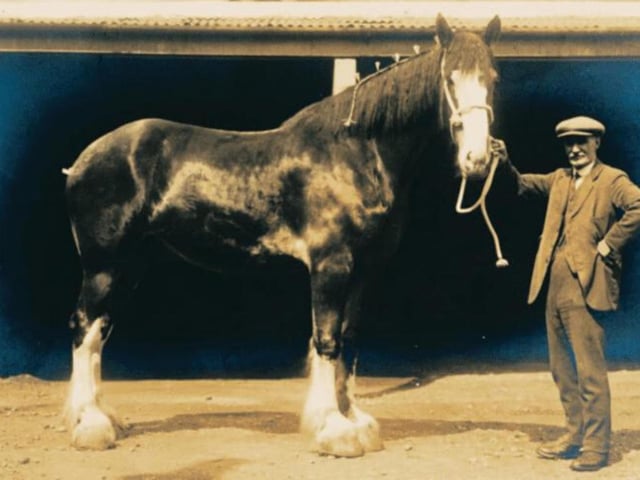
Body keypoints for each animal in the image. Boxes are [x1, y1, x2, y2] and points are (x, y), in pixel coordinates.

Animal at [62, 14, 501, 456]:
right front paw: (334, 430)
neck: (357, 156)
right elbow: (327, 340)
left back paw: (106, 419)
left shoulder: (363, 271)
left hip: (129, 265)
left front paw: (355, 422)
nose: (477, 158)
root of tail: (84, 159)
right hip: (103, 266)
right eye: (449, 78)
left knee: (100, 328)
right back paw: (90, 425)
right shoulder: (331, 265)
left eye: (493, 78)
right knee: (85, 326)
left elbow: (350, 339)